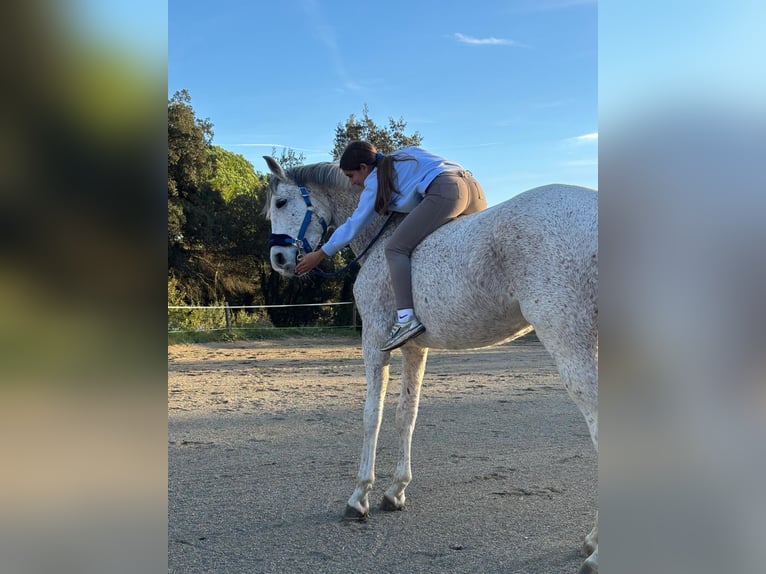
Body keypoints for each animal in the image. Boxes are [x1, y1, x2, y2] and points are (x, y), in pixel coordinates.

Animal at [262, 156, 599, 574]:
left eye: (281, 202)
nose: (279, 261)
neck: (381, 236)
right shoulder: (414, 350)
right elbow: (407, 415)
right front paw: (395, 491)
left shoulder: (374, 342)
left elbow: (372, 416)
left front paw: (359, 496)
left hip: (571, 344)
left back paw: (596, 549)